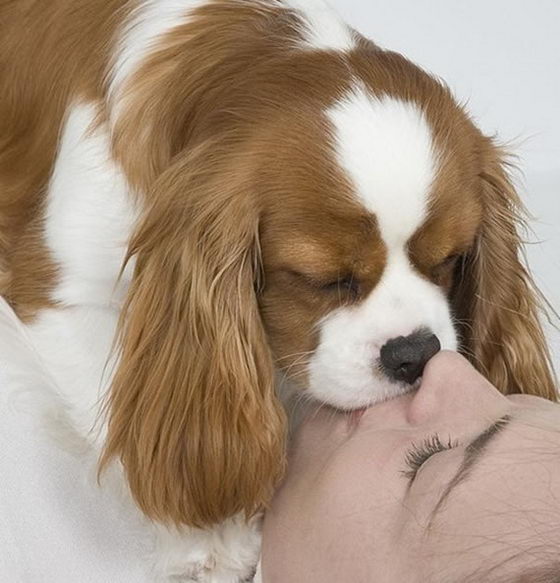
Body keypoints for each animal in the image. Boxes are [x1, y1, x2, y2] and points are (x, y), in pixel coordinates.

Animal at [0, 0, 556, 580]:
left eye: (448, 261)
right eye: (325, 279)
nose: (415, 354)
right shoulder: (56, 292)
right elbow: (114, 411)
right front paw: (201, 538)